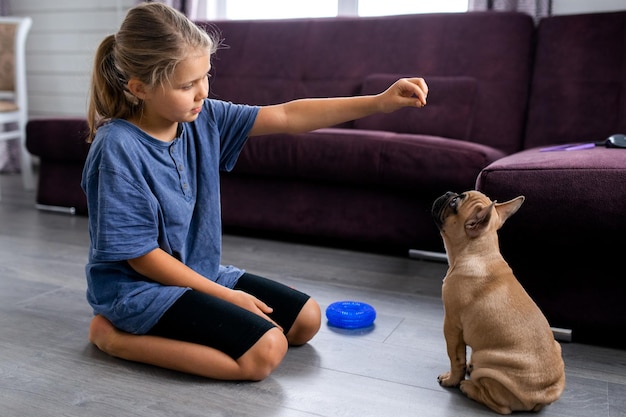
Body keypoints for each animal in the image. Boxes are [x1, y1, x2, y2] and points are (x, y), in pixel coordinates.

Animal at [432, 191, 564, 412]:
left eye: (454, 202)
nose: (449, 193)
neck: (480, 251)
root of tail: (544, 395)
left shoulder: (451, 325)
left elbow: (456, 358)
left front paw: (451, 379)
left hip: (487, 363)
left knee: (500, 406)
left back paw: (468, 387)